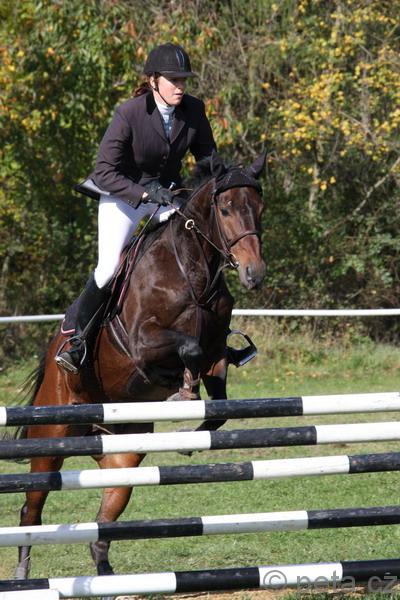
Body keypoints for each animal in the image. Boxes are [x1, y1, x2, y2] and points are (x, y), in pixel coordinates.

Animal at [13, 151, 266, 591]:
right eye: (225, 209)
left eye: (259, 208)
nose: (255, 274)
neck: (192, 271)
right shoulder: (142, 345)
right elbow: (187, 349)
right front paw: (183, 392)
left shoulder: (217, 352)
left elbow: (218, 398)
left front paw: (189, 431)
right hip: (50, 440)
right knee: (32, 509)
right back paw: (24, 574)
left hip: (123, 451)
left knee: (105, 514)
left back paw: (106, 576)